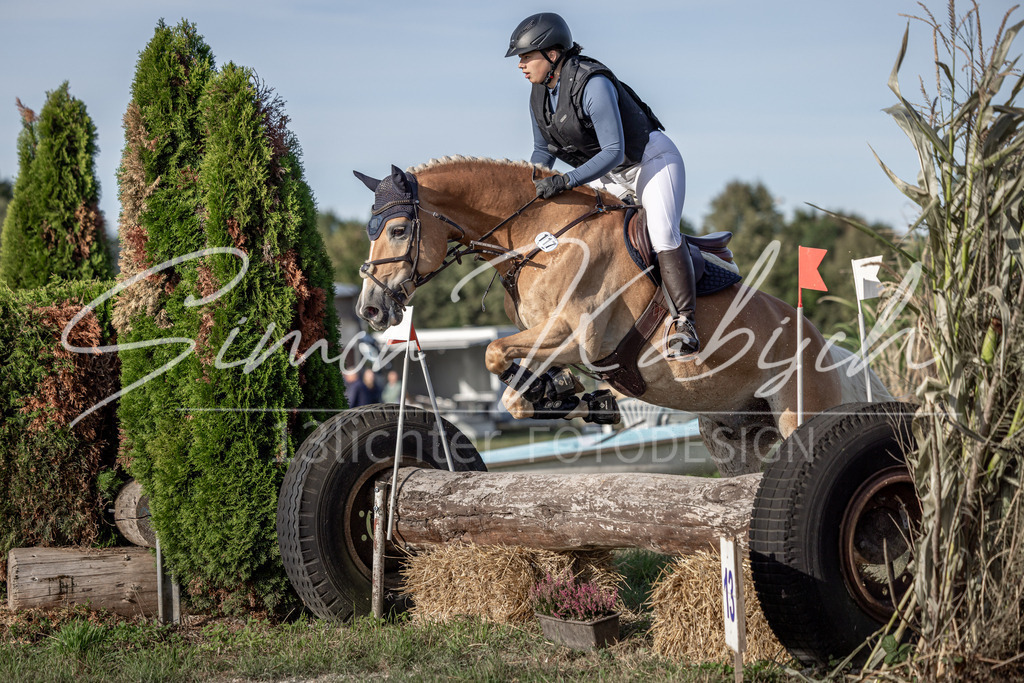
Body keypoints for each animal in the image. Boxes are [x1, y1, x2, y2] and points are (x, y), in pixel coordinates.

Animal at [353, 156, 890, 475]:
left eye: (398, 230)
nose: (370, 308)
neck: (543, 237)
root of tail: (827, 350)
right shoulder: (550, 339)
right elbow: (512, 388)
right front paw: (570, 396)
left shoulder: (580, 338)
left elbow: (493, 353)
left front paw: (570, 396)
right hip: (736, 436)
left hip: (802, 415)